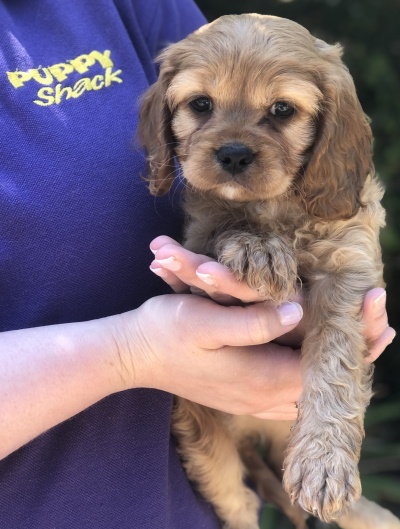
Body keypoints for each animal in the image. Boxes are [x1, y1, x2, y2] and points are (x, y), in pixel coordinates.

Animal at [138, 12, 394, 528]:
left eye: (282, 110)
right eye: (201, 104)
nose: (234, 154)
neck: (280, 208)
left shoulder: (350, 267)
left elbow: (336, 358)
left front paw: (323, 462)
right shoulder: (198, 243)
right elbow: (228, 226)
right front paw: (259, 247)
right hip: (206, 442)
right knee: (237, 504)